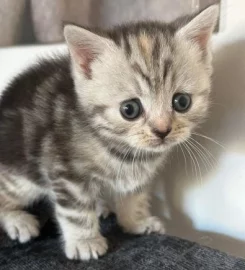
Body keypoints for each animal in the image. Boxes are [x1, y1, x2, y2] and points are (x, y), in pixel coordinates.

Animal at [0, 5, 218, 260]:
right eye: (130, 109)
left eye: (182, 102)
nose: (162, 130)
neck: (119, 149)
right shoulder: (66, 172)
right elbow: (76, 211)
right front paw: (85, 241)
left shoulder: (138, 176)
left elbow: (134, 196)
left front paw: (136, 221)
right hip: (20, 178)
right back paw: (19, 221)